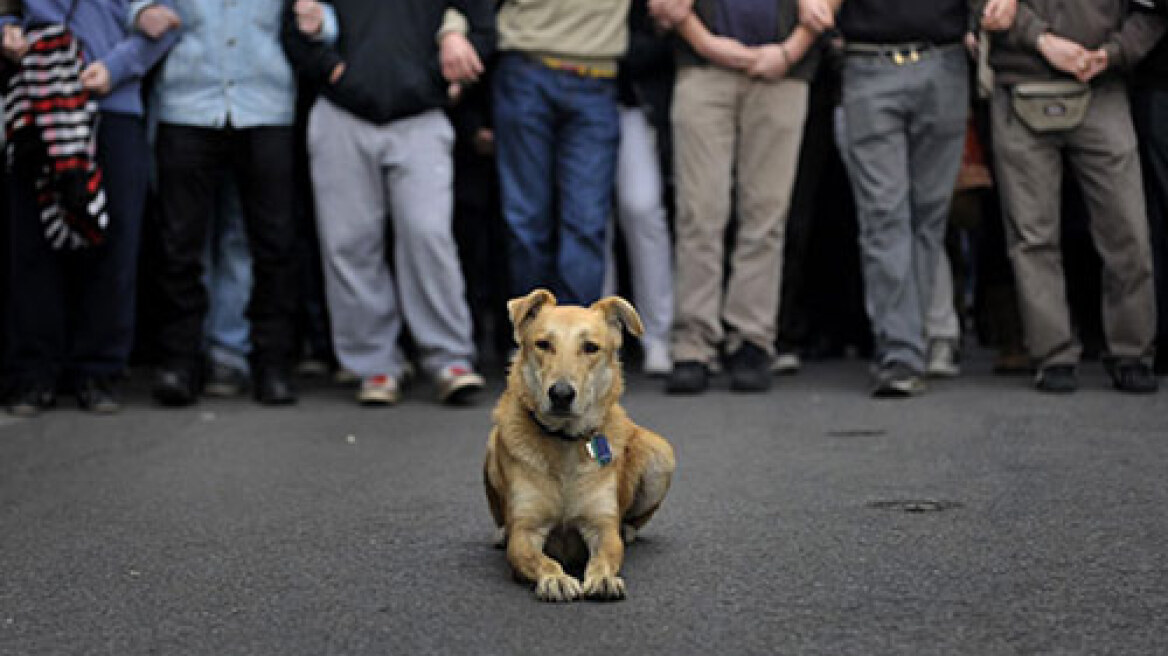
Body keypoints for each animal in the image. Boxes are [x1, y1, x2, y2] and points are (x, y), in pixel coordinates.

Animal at [483, 288, 682, 602]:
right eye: (543, 344)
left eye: (590, 347)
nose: (561, 394)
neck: (565, 442)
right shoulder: (525, 531)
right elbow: (540, 558)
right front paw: (556, 578)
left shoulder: (601, 526)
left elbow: (606, 555)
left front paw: (603, 578)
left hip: (661, 454)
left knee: (633, 522)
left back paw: (628, 530)